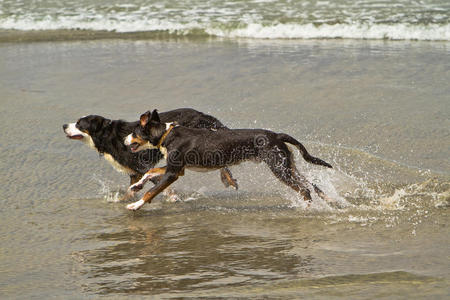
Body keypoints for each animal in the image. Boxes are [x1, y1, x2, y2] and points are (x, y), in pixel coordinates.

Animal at [64, 108, 239, 199]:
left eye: (79, 124)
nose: (64, 125)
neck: (107, 135)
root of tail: (203, 115)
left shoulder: (141, 165)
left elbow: (157, 181)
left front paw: (172, 197)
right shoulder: (134, 172)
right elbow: (130, 190)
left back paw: (228, 178)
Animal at [125, 109, 332, 210]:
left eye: (134, 132)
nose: (125, 140)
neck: (167, 134)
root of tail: (276, 135)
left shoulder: (173, 173)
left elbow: (151, 192)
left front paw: (135, 205)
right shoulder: (177, 169)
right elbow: (150, 172)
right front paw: (136, 185)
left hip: (279, 168)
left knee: (305, 189)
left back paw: (306, 209)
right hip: (288, 166)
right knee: (312, 185)